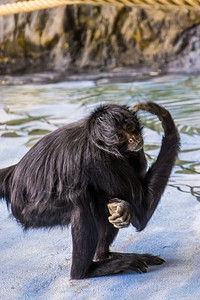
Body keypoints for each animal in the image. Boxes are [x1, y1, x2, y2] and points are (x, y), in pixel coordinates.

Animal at [0, 101, 180, 278]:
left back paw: (105, 254)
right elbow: (141, 216)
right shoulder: (100, 159)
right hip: (30, 212)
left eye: (129, 127)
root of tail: (14, 176)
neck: (95, 139)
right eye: (120, 137)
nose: (133, 138)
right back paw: (85, 271)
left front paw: (118, 206)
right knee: (80, 200)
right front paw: (167, 124)